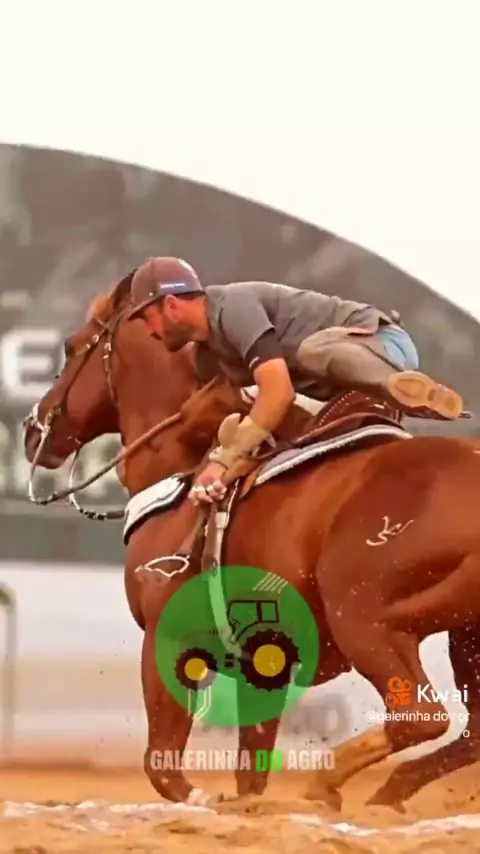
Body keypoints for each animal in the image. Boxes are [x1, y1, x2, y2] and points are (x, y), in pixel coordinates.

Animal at [23, 276, 480, 811]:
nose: (33, 430)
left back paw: (327, 784)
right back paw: (385, 792)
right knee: (469, 734)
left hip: (363, 618)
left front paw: (208, 800)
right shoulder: (265, 666)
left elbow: (164, 767)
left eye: (72, 346)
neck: (182, 463)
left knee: (418, 717)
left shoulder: (165, 635)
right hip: (464, 638)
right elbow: (250, 770)